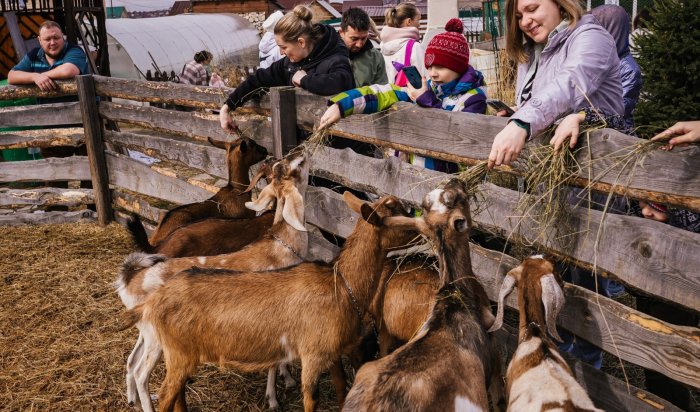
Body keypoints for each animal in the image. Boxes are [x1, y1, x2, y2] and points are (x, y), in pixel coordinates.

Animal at [116, 152, 308, 412]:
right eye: (290, 170)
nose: (301, 153)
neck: (281, 248)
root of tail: (129, 281)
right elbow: (273, 361)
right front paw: (274, 397)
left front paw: (286, 380)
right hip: (157, 338)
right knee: (142, 373)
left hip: (146, 332)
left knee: (132, 362)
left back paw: (133, 402)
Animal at [120, 192, 418, 410]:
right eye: (399, 216)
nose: (424, 225)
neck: (341, 285)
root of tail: (152, 301)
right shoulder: (312, 356)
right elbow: (312, 399)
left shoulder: (333, 354)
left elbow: (341, 388)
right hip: (177, 353)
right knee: (165, 394)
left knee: (176, 393)